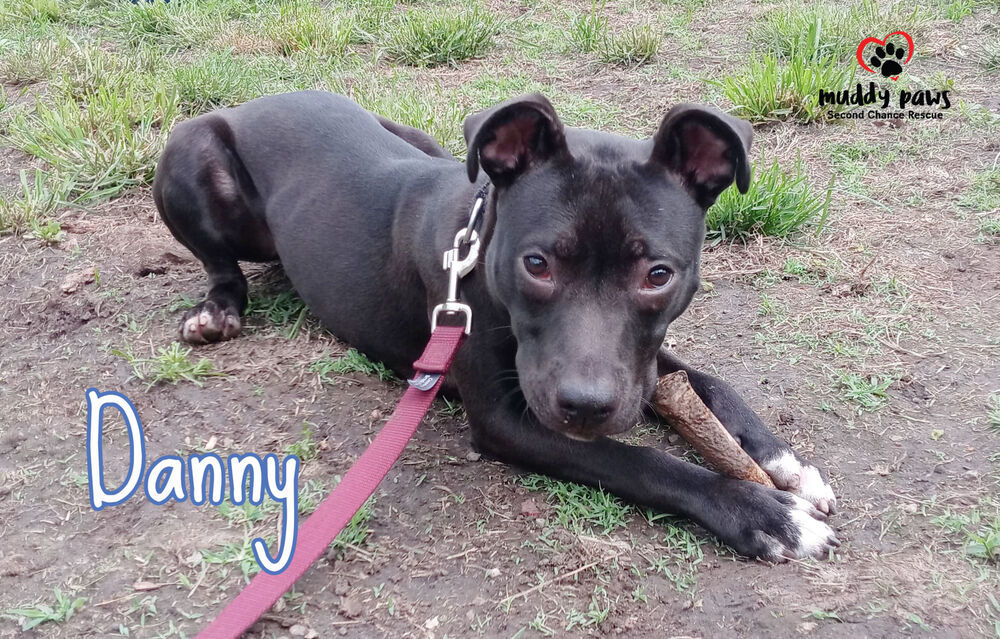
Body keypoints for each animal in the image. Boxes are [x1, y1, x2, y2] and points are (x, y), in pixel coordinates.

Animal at [156, 90, 840, 560]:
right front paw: (765, 514)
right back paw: (217, 310)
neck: (479, 244)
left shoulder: (637, 365)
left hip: (421, 139)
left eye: (658, 275)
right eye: (536, 264)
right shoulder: (508, 419)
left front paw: (785, 463)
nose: (585, 406)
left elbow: (711, 384)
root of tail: (258, 101)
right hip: (188, 155)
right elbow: (642, 461)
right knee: (221, 262)